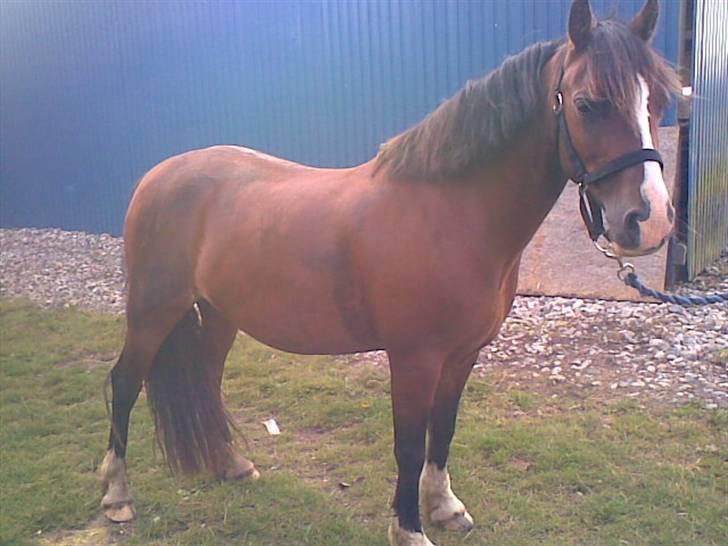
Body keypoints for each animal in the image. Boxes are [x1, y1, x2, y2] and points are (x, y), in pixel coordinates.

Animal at [100, 1, 679, 544]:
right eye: (586, 103)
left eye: (660, 101)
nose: (648, 221)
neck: (450, 214)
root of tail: (159, 174)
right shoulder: (414, 359)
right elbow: (408, 443)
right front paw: (409, 528)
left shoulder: (462, 355)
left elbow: (442, 431)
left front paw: (444, 508)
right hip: (153, 310)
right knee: (125, 381)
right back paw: (116, 495)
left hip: (220, 313)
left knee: (205, 377)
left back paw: (231, 465)